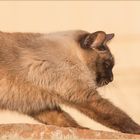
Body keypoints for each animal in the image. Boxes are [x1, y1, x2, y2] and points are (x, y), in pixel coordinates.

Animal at [0, 30, 139, 134]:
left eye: (111, 66)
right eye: (107, 65)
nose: (111, 78)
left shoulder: (40, 105)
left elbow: (65, 121)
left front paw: (83, 129)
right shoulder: (85, 96)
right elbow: (118, 116)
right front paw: (137, 130)